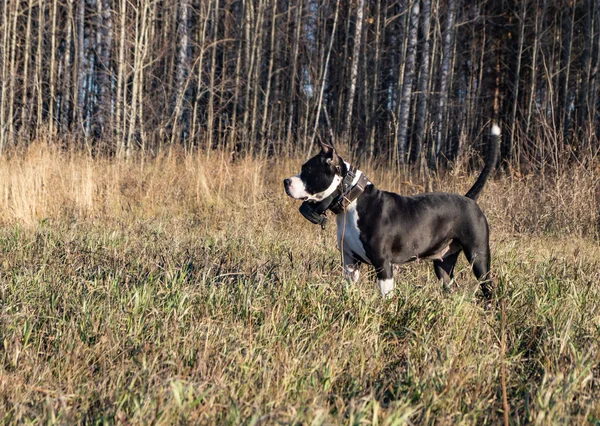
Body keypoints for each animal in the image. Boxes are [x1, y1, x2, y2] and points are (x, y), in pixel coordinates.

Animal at [284, 123, 500, 300]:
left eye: (307, 170)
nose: (286, 181)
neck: (352, 201)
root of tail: (469, 198)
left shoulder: (383, 264)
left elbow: (386, 297)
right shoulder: (350, 263)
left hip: (478, 257)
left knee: (488, 287)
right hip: (443, 264)